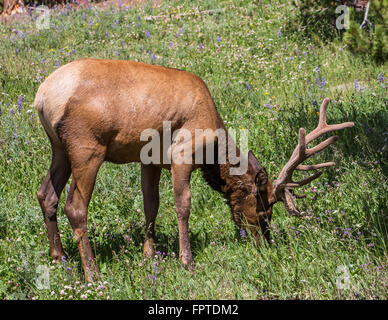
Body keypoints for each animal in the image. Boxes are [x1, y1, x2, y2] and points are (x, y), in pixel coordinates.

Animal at [34, 58, 354, 282]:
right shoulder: (182, 153)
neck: (214, 148)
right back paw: (93, 274)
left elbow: (151, 205)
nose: (266, 242)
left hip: (59, 148)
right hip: (87, 148)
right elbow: (183, 205)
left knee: (46, 194)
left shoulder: (150, 159)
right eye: (266, 207)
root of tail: (42, 96)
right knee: (75, 206)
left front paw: (148, 256)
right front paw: (186, 261)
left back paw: (58, 259)